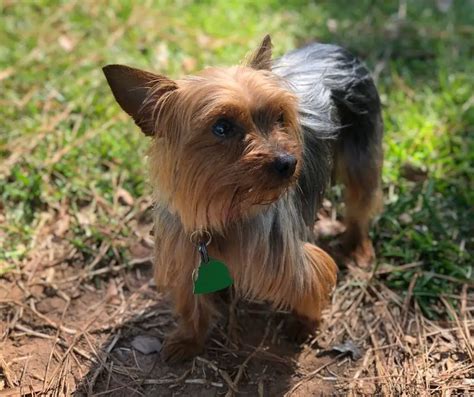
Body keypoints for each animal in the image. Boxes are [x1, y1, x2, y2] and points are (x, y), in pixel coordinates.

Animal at [103, 34, 382, 362]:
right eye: (222, 127)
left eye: (279, 117)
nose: (289, 163)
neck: (225, 209)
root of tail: (333, 47)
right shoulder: (184, 252)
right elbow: (191, 302)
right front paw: (189, 339)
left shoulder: (285, 256)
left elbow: (310, 283)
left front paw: (304, 324)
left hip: (360, 153)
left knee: (360, 201)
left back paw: (357, 246)